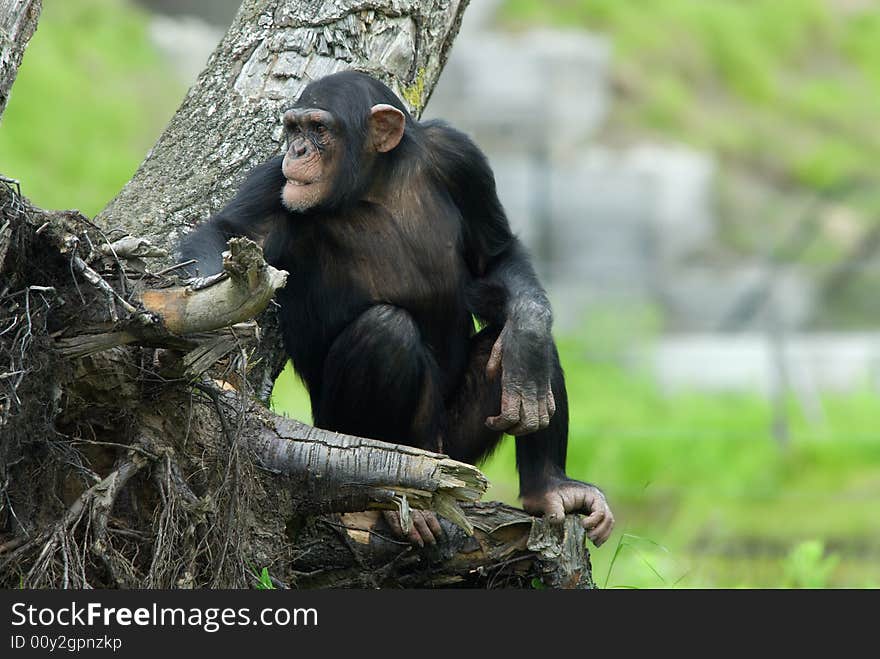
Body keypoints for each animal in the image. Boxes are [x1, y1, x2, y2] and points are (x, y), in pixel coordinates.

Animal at [179, 69, 616, 548]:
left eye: (318, 129)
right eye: (293, 128)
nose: (296, 151)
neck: (375, 183)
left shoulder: (461, 157)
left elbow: (495, 257)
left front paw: (529, 334)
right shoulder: (273, 184)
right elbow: (226, 232)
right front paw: (202, 312)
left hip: (458, 451)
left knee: (512, 337)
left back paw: (550, 484)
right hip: (346, 435)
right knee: (385, 332)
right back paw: (395, 496)